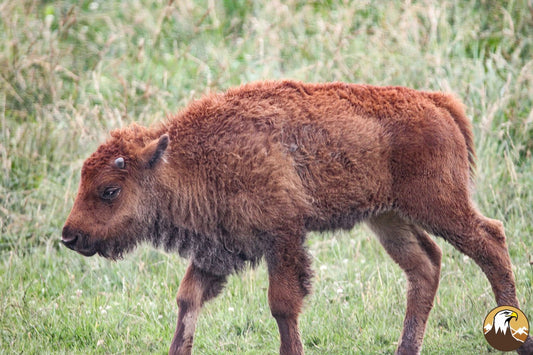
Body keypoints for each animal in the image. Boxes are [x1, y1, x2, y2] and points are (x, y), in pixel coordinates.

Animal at [61, 81, 528, 355]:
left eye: (110, 190)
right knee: (425, 265)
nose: (69, 237)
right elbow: (187, 300)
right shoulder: (218, 247)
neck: (186, 158)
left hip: (439, 205)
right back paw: (405, 349)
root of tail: (437, 103)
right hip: (389, 218)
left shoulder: (282, 237)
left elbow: (282, 304)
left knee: (491, 241)